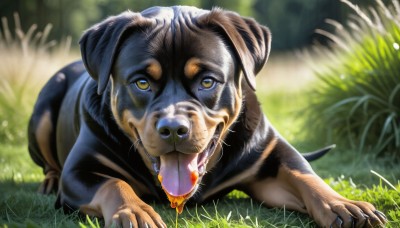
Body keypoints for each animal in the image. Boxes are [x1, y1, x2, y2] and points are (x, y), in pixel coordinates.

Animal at [26, 5, 386, 228]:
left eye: (207, 81)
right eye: (142, 82)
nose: (173, 128)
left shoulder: (269, 157)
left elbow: (305, 176)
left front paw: (343, 204)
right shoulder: (80, 171)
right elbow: (113, 183)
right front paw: (136, 210)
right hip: (44, 107)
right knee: (51, 164)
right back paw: (49, 181)